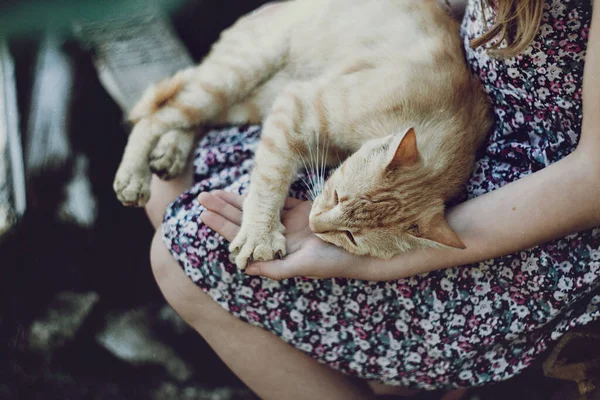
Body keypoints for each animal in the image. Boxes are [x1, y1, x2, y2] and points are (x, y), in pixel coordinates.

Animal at [112, 0, 492, 270]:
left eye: (351, 237)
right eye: (337, 196)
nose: (315, 225)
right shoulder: (298, 103)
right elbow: (270, 176)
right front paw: (260, 236)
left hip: (248, 102)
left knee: (190, 119)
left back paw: (171, 152)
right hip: (236, 76)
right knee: (157, 113)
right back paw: (133, 177)